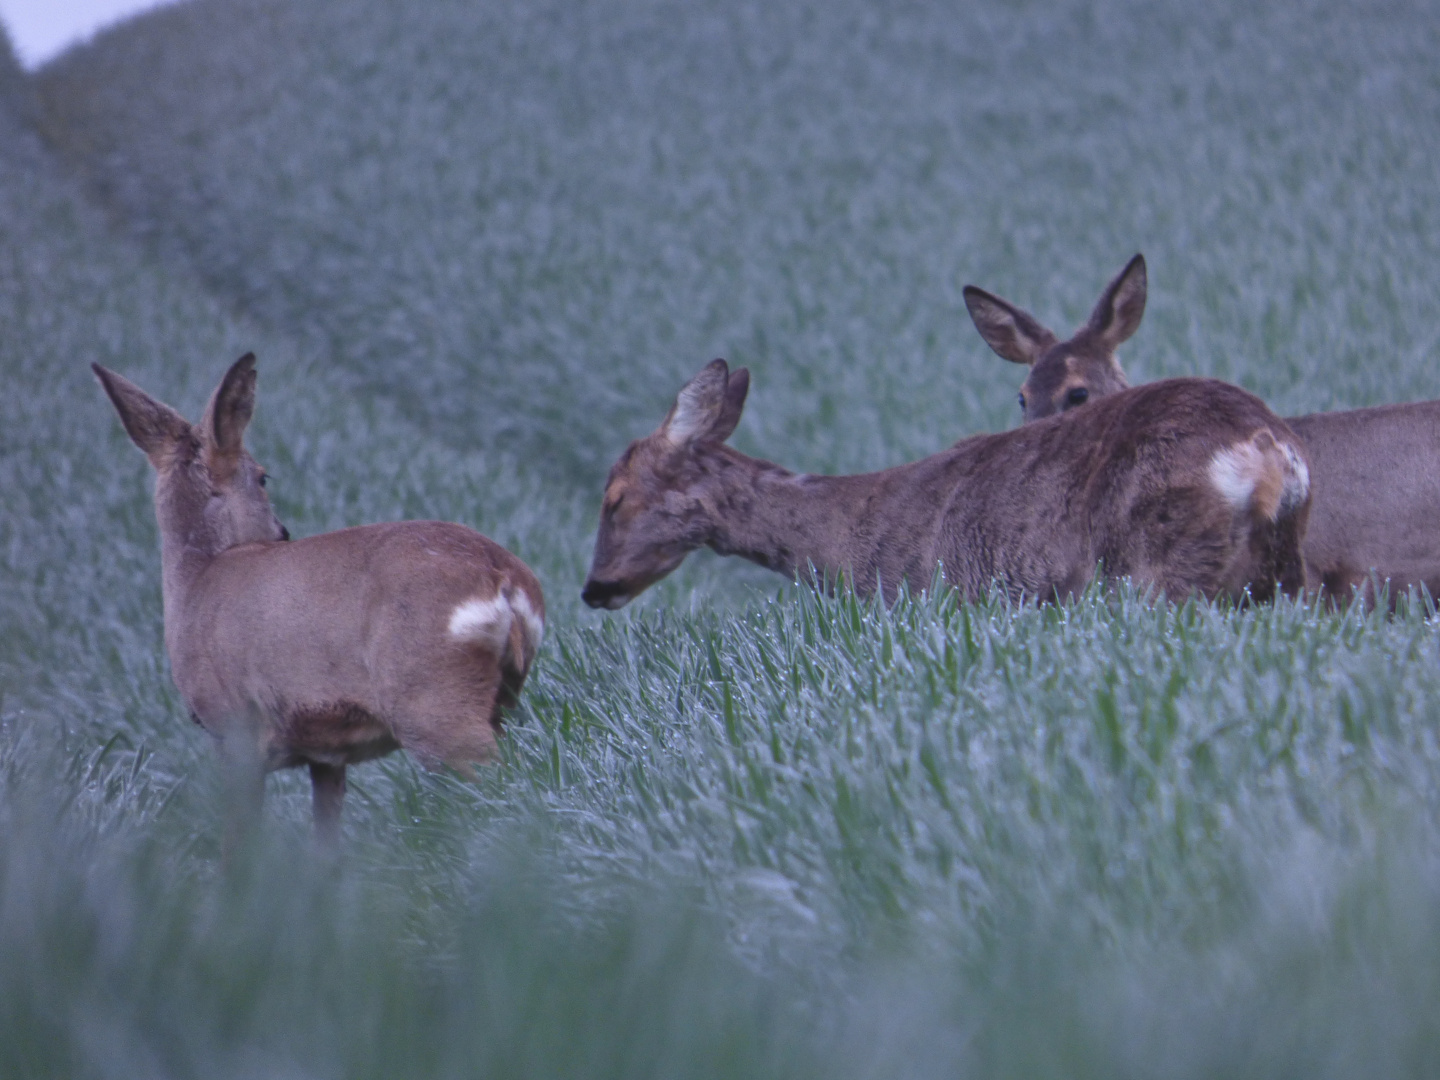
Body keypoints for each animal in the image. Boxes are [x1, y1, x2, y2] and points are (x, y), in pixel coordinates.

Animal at [94, 355, 544, 846]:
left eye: (263, 475)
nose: (282, 532)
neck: (196, 582)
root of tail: (505, 579)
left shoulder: (233, 726)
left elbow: (240, 839)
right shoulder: (327, 756)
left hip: (432, 699)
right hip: (503, 695)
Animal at [578, 355, 1313, 610]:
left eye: (613, 498)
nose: (594, 589)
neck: (850, 545)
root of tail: (1268, 453)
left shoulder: (929, 597)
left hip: (1159, 567)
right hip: (1278, 575)